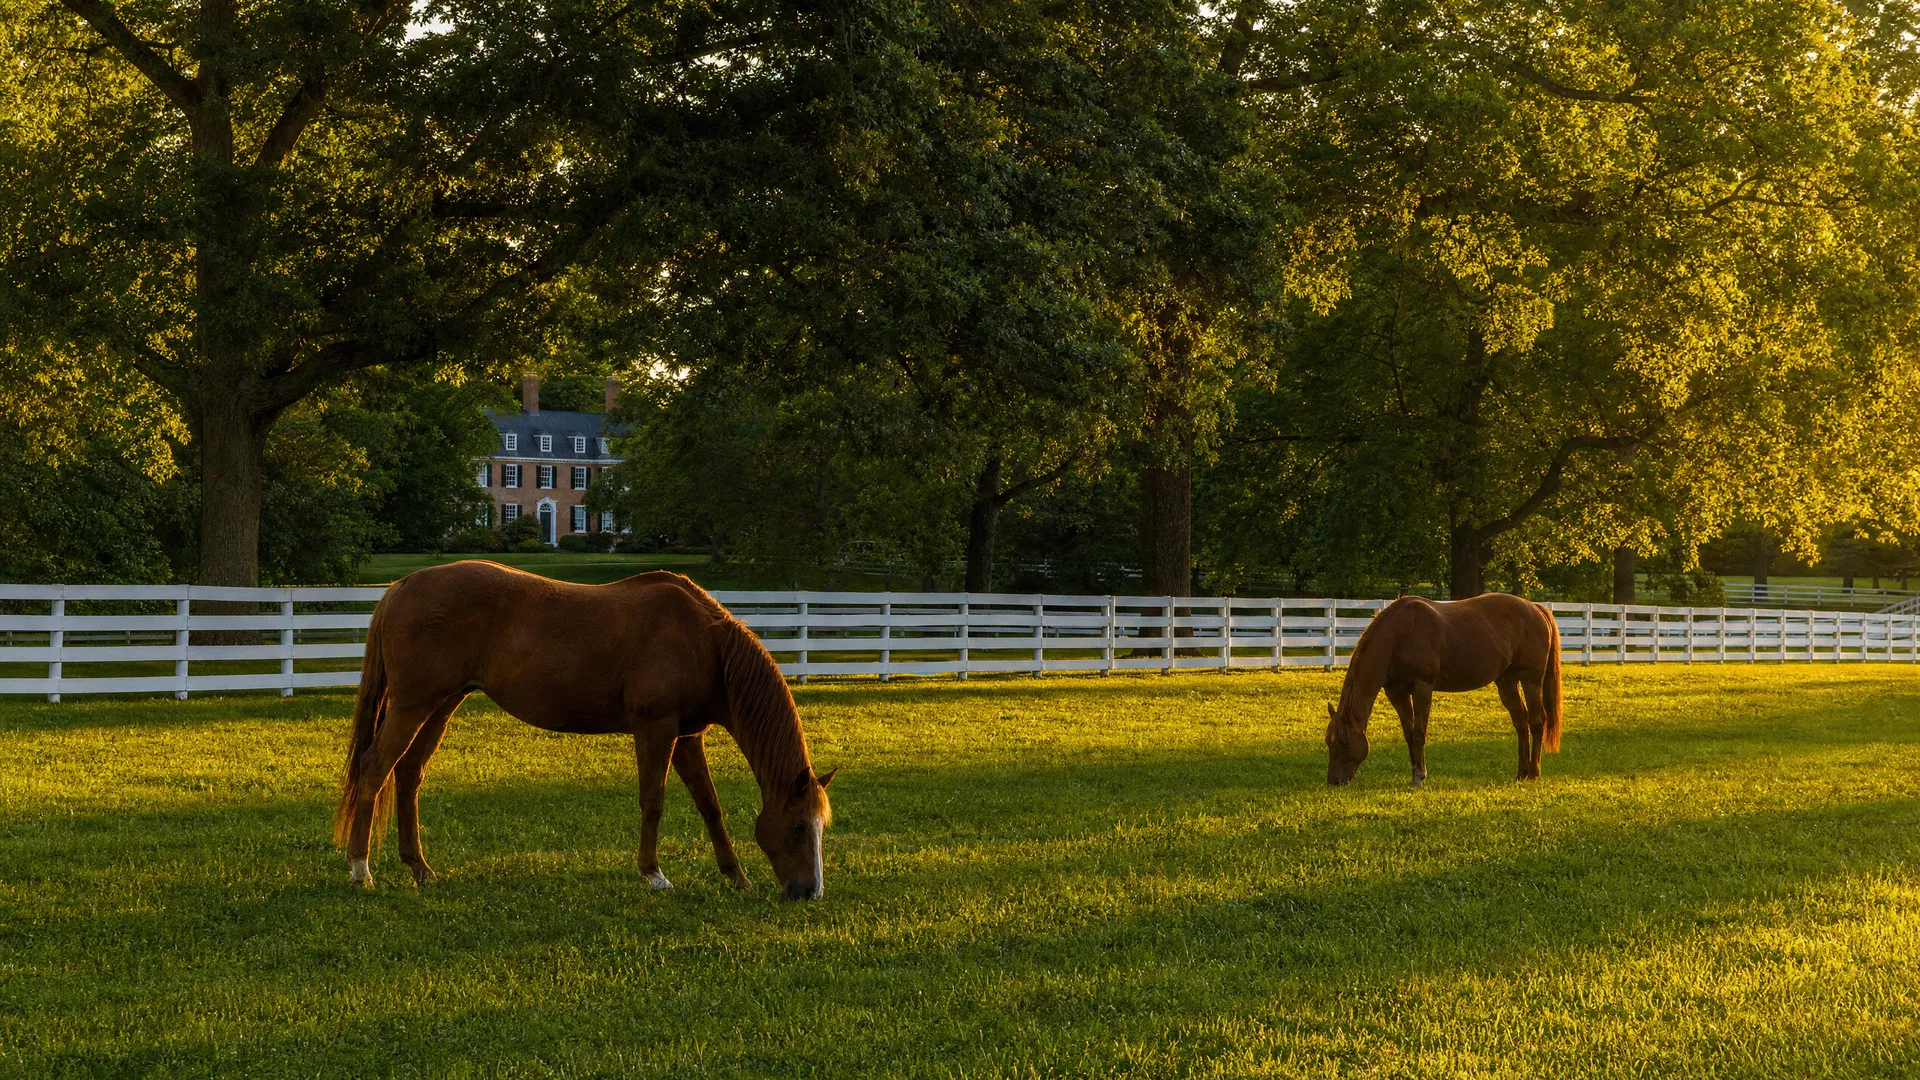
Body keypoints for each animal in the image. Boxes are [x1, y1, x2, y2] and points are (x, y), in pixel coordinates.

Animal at [332, 561, 836, 899]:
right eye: (797, 826)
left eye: (819, 827)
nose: (809, 892)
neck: (703, 640)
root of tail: (403, 586)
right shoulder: (656, 728)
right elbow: (653, 801)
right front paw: (654, 874)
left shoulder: (687, 736)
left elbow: (709, 806)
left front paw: (735, 875)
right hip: (413, 704)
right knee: (375, 769)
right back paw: (360, 868)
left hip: (441, 705)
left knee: (407, 774)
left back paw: (419, 867)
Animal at [1325, 592, 1562, 786]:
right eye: (1329, 742)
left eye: (1345, 742)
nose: (1335, 782)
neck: (1399, 634)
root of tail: (1535, 608)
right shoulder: (1396, 692)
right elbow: (1409, 734)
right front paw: (1414, 773)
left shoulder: (1422, 687)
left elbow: (1419, 733)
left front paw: (1420, 777)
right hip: (1506, 681)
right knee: (1521, 723)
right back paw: (1522, 773)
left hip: (1531, 680)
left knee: (1537, 722)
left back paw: (1534, 773)